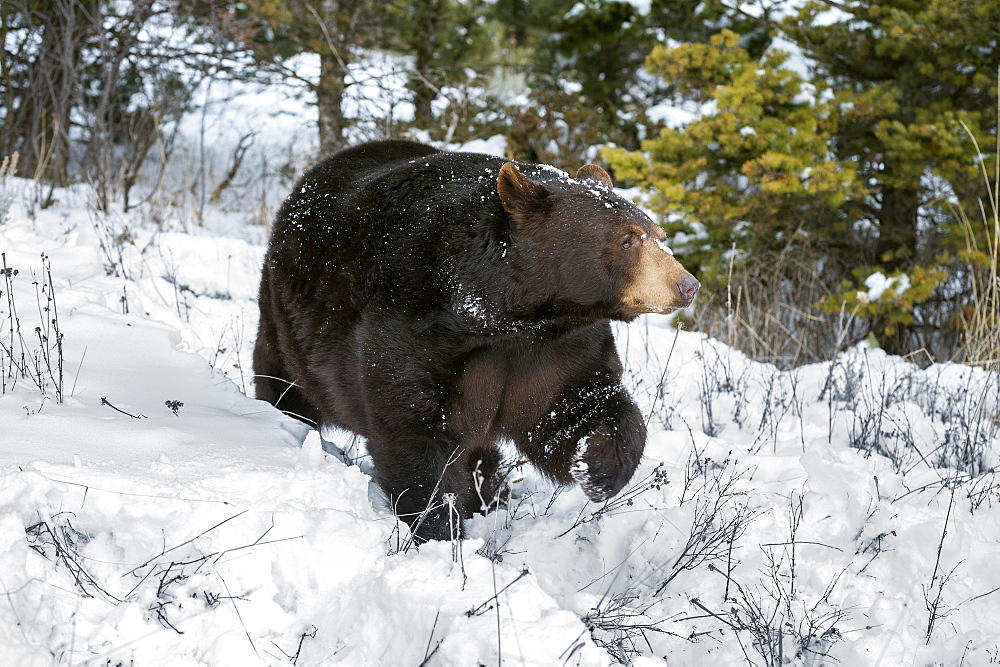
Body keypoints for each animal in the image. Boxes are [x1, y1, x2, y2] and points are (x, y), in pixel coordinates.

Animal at [254, 141, 700, 544]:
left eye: (658, 233)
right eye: (628, 240)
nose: (687, 285)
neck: (506, 317)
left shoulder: (557, 347)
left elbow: (573, 405)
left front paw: (597, 466)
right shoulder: (414, 325)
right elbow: (412, 430)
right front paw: (440, 533)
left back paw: (492, 493)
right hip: (288, 324)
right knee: (285, 383)